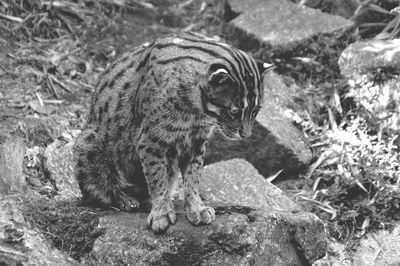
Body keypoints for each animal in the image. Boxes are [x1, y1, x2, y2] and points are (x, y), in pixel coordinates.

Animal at [73, 31, 272, 233]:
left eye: (257, 110)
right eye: (235, 111)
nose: (246, 135)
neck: (195, 110)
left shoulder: (196, 141)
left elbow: (192, 177)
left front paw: (196, 207)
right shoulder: (150, 139)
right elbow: (156, 177)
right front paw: (161, 213)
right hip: (90, 142)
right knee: (95, 190)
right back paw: (125, 198)